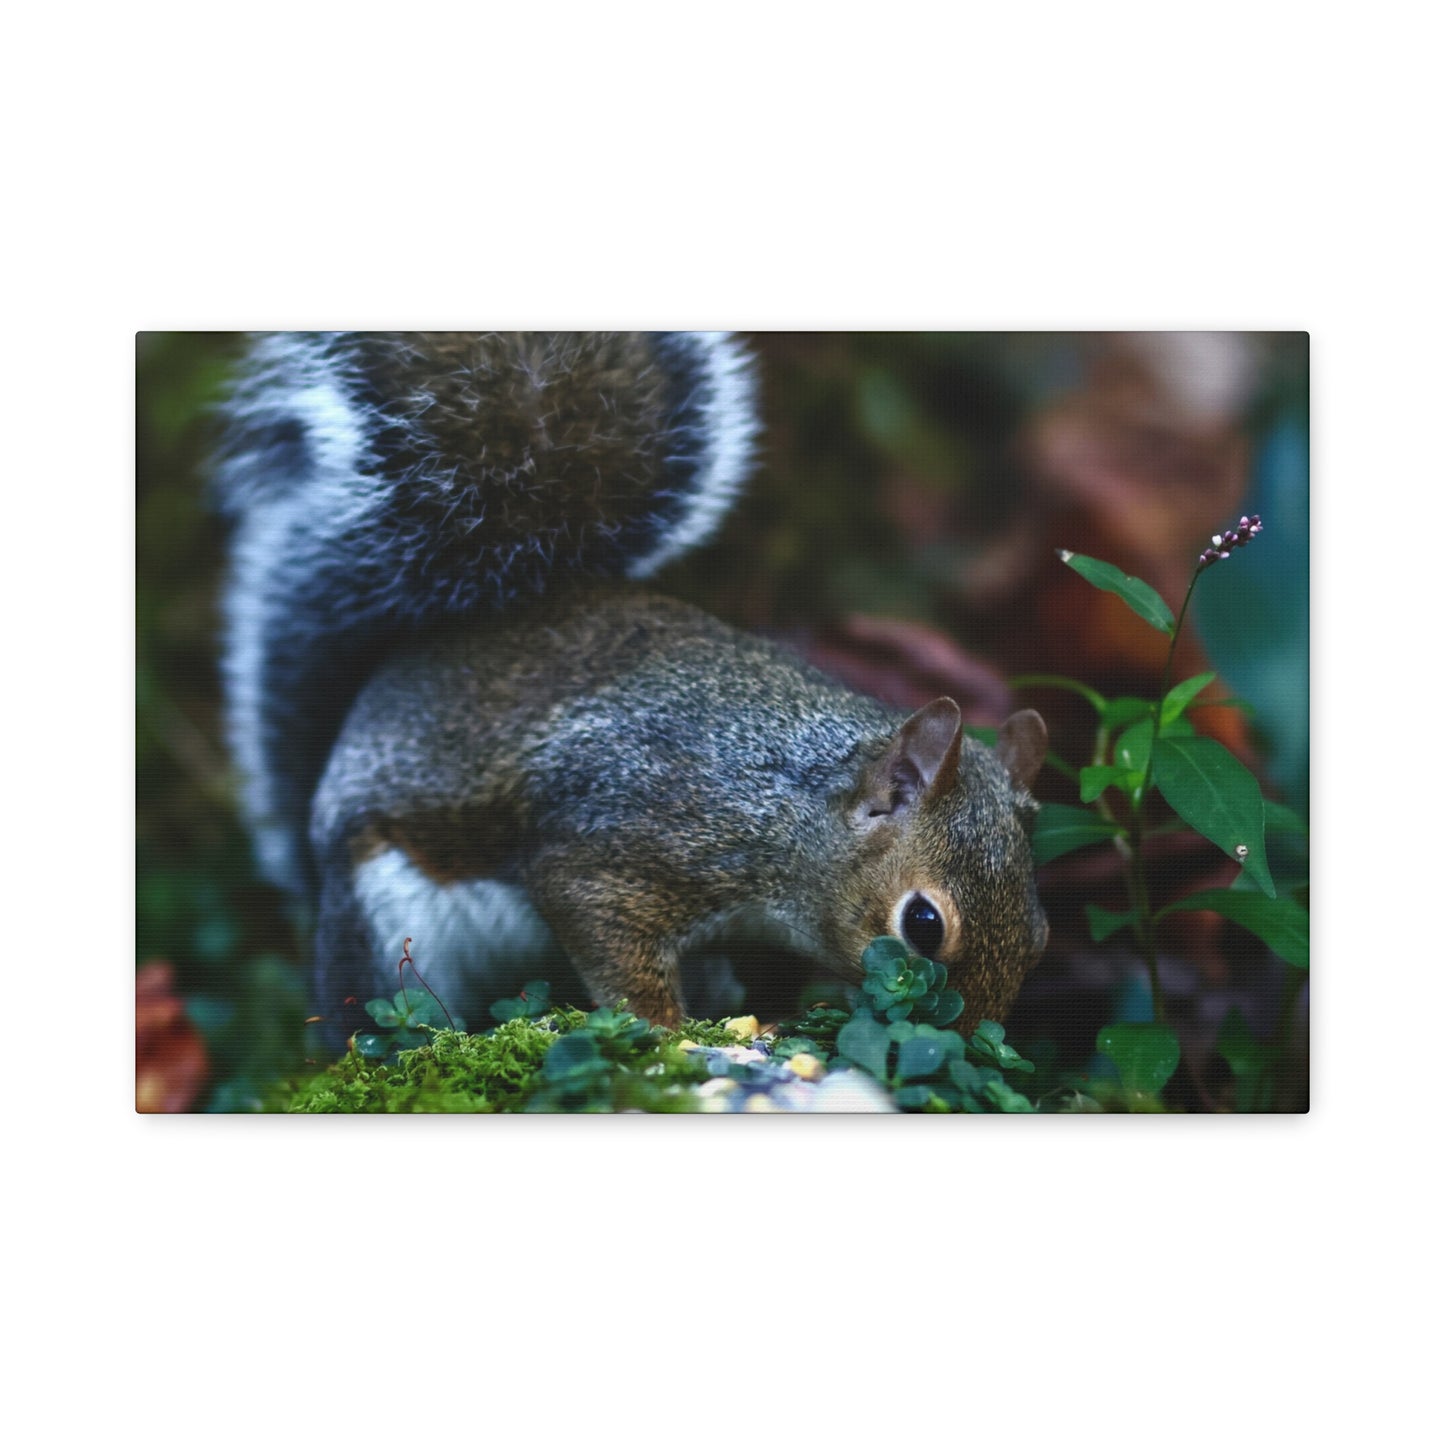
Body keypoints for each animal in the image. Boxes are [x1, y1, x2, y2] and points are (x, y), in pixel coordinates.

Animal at [214, 332, 1050, 1042]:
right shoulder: (632, 837)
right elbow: (599, 926)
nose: (974, 1037)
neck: (794, 805)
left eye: (1040, 932)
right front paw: (664, 1030)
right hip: (385, 918)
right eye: (923, 924)